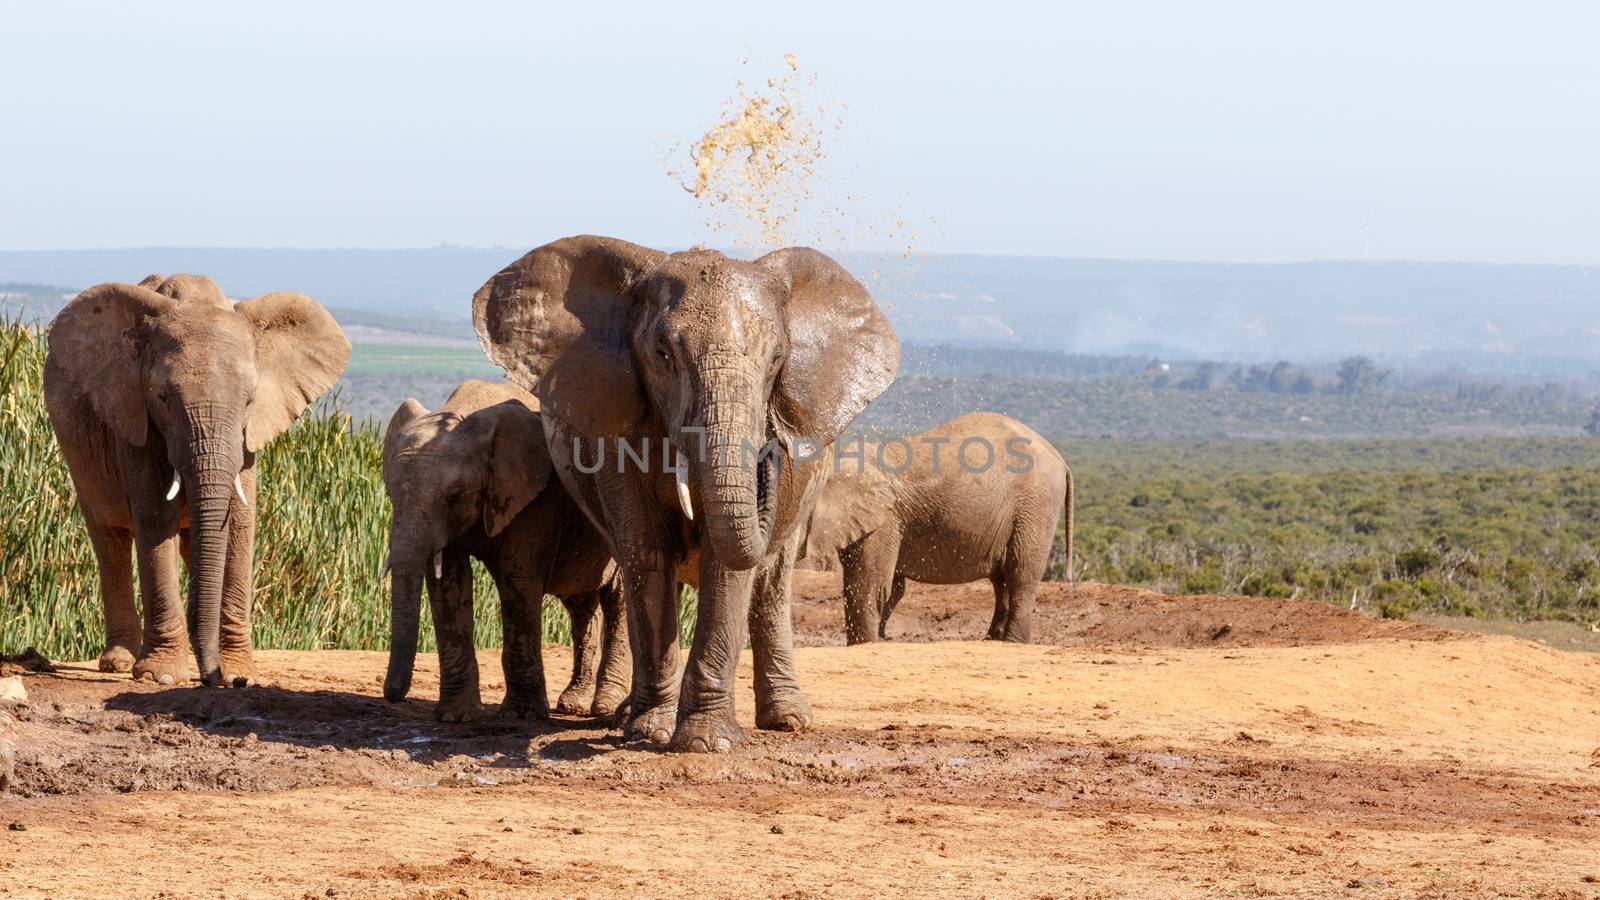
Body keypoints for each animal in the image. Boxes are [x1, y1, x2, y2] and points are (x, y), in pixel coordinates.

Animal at [46, 272, 350, 679]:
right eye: (162, 398)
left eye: (250, 400)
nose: (212, 677)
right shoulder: (134, 416)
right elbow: (156, 518)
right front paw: (160, 676)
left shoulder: (248, 437)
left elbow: (239, 523)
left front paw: (240, 676)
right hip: (80, 455)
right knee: (110, 538)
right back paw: (119, 663)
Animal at [379, 376, 624, 714]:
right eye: (390, 495)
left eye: (453, 496)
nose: (392, 694)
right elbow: (448, 583)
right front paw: (455, 716)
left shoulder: (535, 497)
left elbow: (517, 582)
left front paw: (522, 714)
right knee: (582, 607)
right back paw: (573, 704)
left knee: (620, 600)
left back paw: (605, 706)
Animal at [470, 232, 902, 749]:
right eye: (662, 354)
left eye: (777, 359)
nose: (771, 452)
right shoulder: (614, 430)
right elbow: (647, 553)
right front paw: (649, 732)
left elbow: (728, 566)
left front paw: (705, 743)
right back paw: (626, 715)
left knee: (772, 583)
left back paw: (789, 721)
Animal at [800, 409, 1075, 640]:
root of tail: (1061, 460)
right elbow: (892, 589)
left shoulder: (884, 522)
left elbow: (868, 589)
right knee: (1002, 579)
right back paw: (991, 640)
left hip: (1035, 506)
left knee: (1021, 573)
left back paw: (1011, 643)